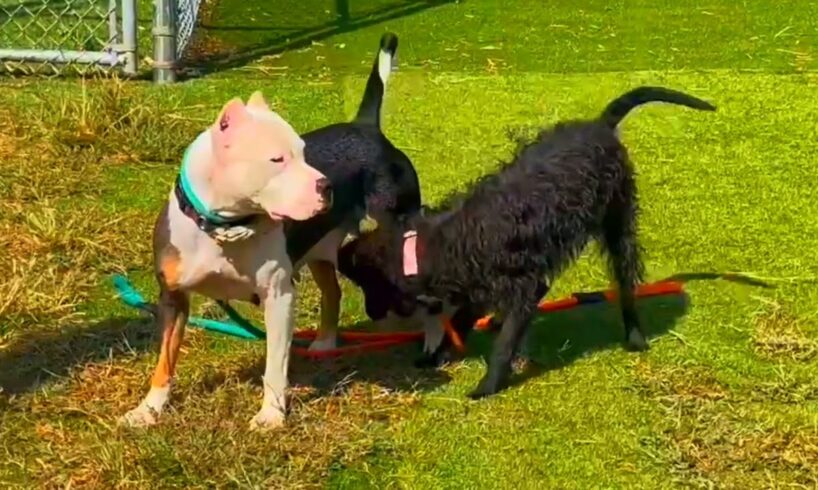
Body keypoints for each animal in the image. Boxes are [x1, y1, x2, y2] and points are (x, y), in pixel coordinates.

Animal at [334, 87, 712, 398]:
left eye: (370, 286)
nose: (371, 314)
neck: (440, 243)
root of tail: (601, 126)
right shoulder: (480, 285)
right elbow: (461, 321)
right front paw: (439, 355)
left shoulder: (526, 285)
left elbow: (503, 344)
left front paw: (488, 384)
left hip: (618, 226)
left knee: (626, 283)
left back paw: (634, 335)